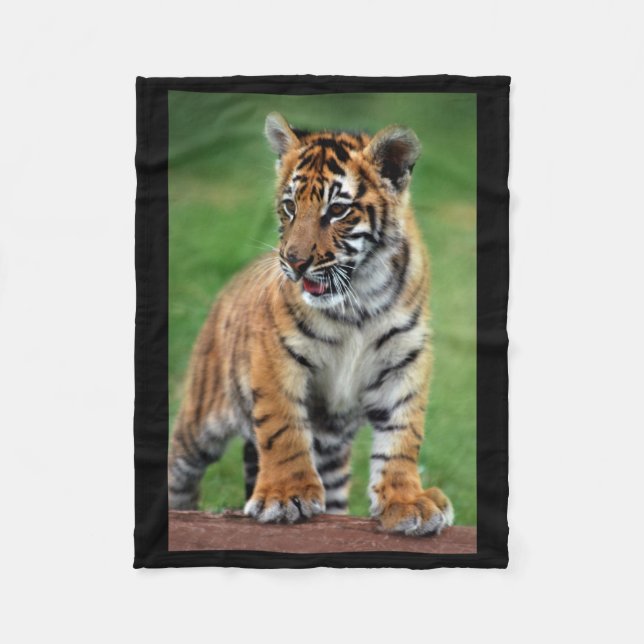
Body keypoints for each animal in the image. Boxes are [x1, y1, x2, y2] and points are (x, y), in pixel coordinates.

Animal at [168, 112, 454, 535]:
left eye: (336, 211)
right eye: (289, 206)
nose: (294, 261)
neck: (359, 301)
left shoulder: (406, 361)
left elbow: (403, 438)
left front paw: (407, 501)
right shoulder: (275, 357)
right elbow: (283, 428)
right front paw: (285, 496)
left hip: (332, 455)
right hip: (201, 418)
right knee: (180, 467)